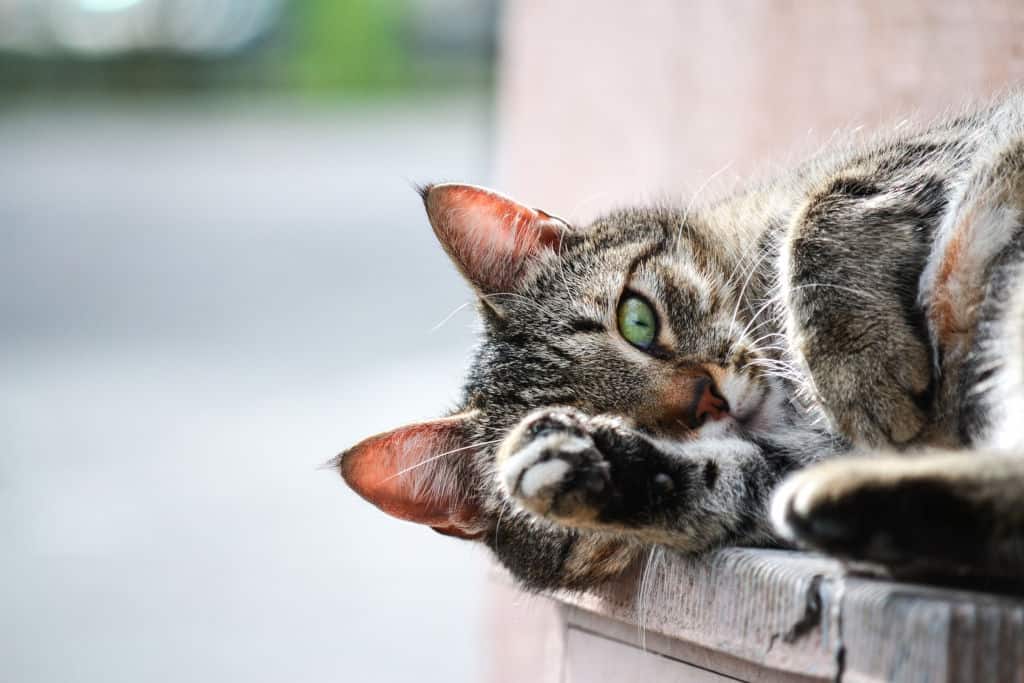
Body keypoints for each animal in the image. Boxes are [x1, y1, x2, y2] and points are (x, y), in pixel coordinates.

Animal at [333, 93, 1024, 589]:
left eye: (637, 320)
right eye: (605, 414)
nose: (706, 401)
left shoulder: (932, 148)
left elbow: (823, 210)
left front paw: (857, 371)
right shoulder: (784, 462)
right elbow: (727, 480)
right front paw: (586, 463)